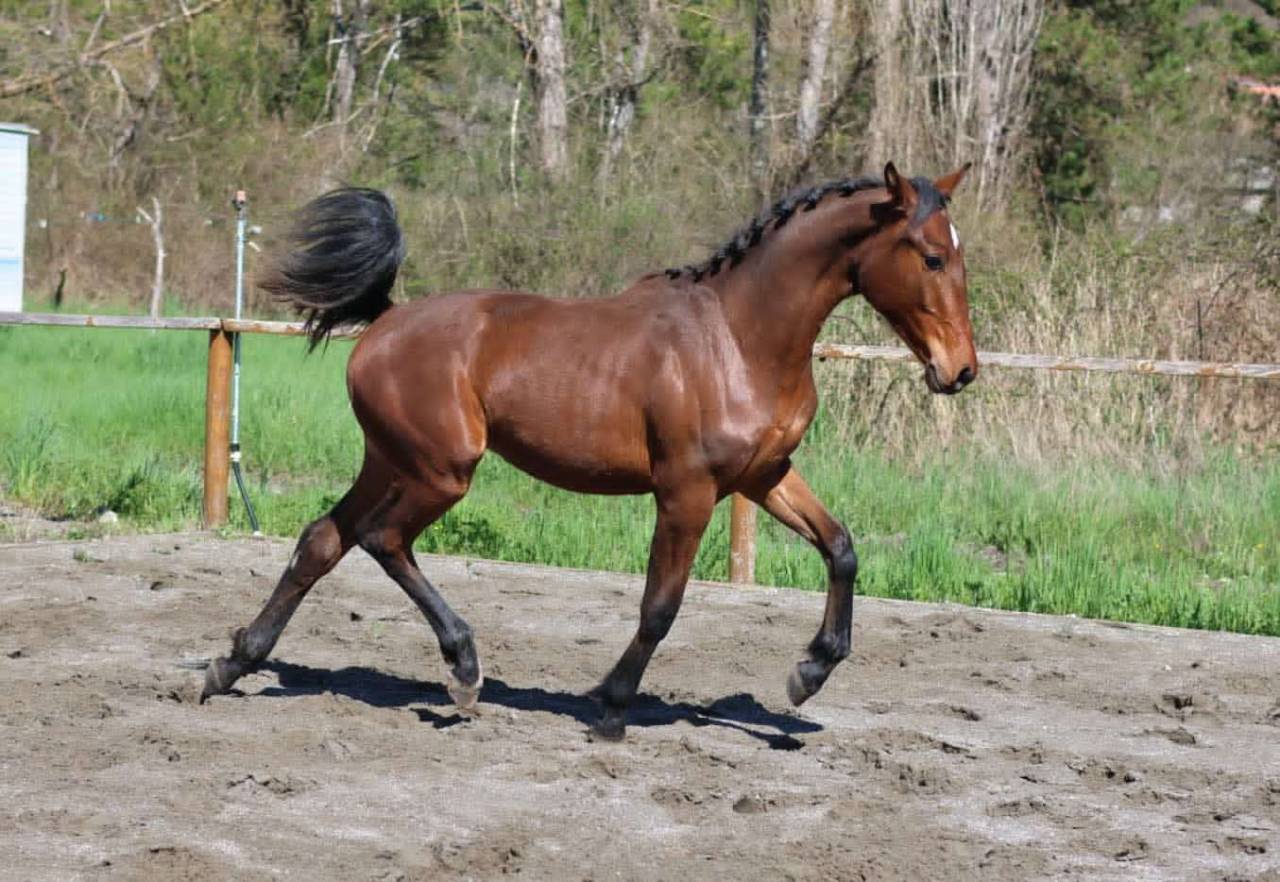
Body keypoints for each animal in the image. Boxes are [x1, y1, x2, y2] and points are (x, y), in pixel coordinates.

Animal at [200, 162, 978, 741]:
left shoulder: (763, 477)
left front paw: (808, 675)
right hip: (441, 472)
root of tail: (386, 322)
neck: (739, 338)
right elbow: (660, 605)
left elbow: (841, 548)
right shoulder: (687, 491)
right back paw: (464, 671)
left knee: (323, 540)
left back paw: (232, 664)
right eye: (932, 255)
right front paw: (611, 706)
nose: (961, 371)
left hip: (391, 460)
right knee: (380, 538)